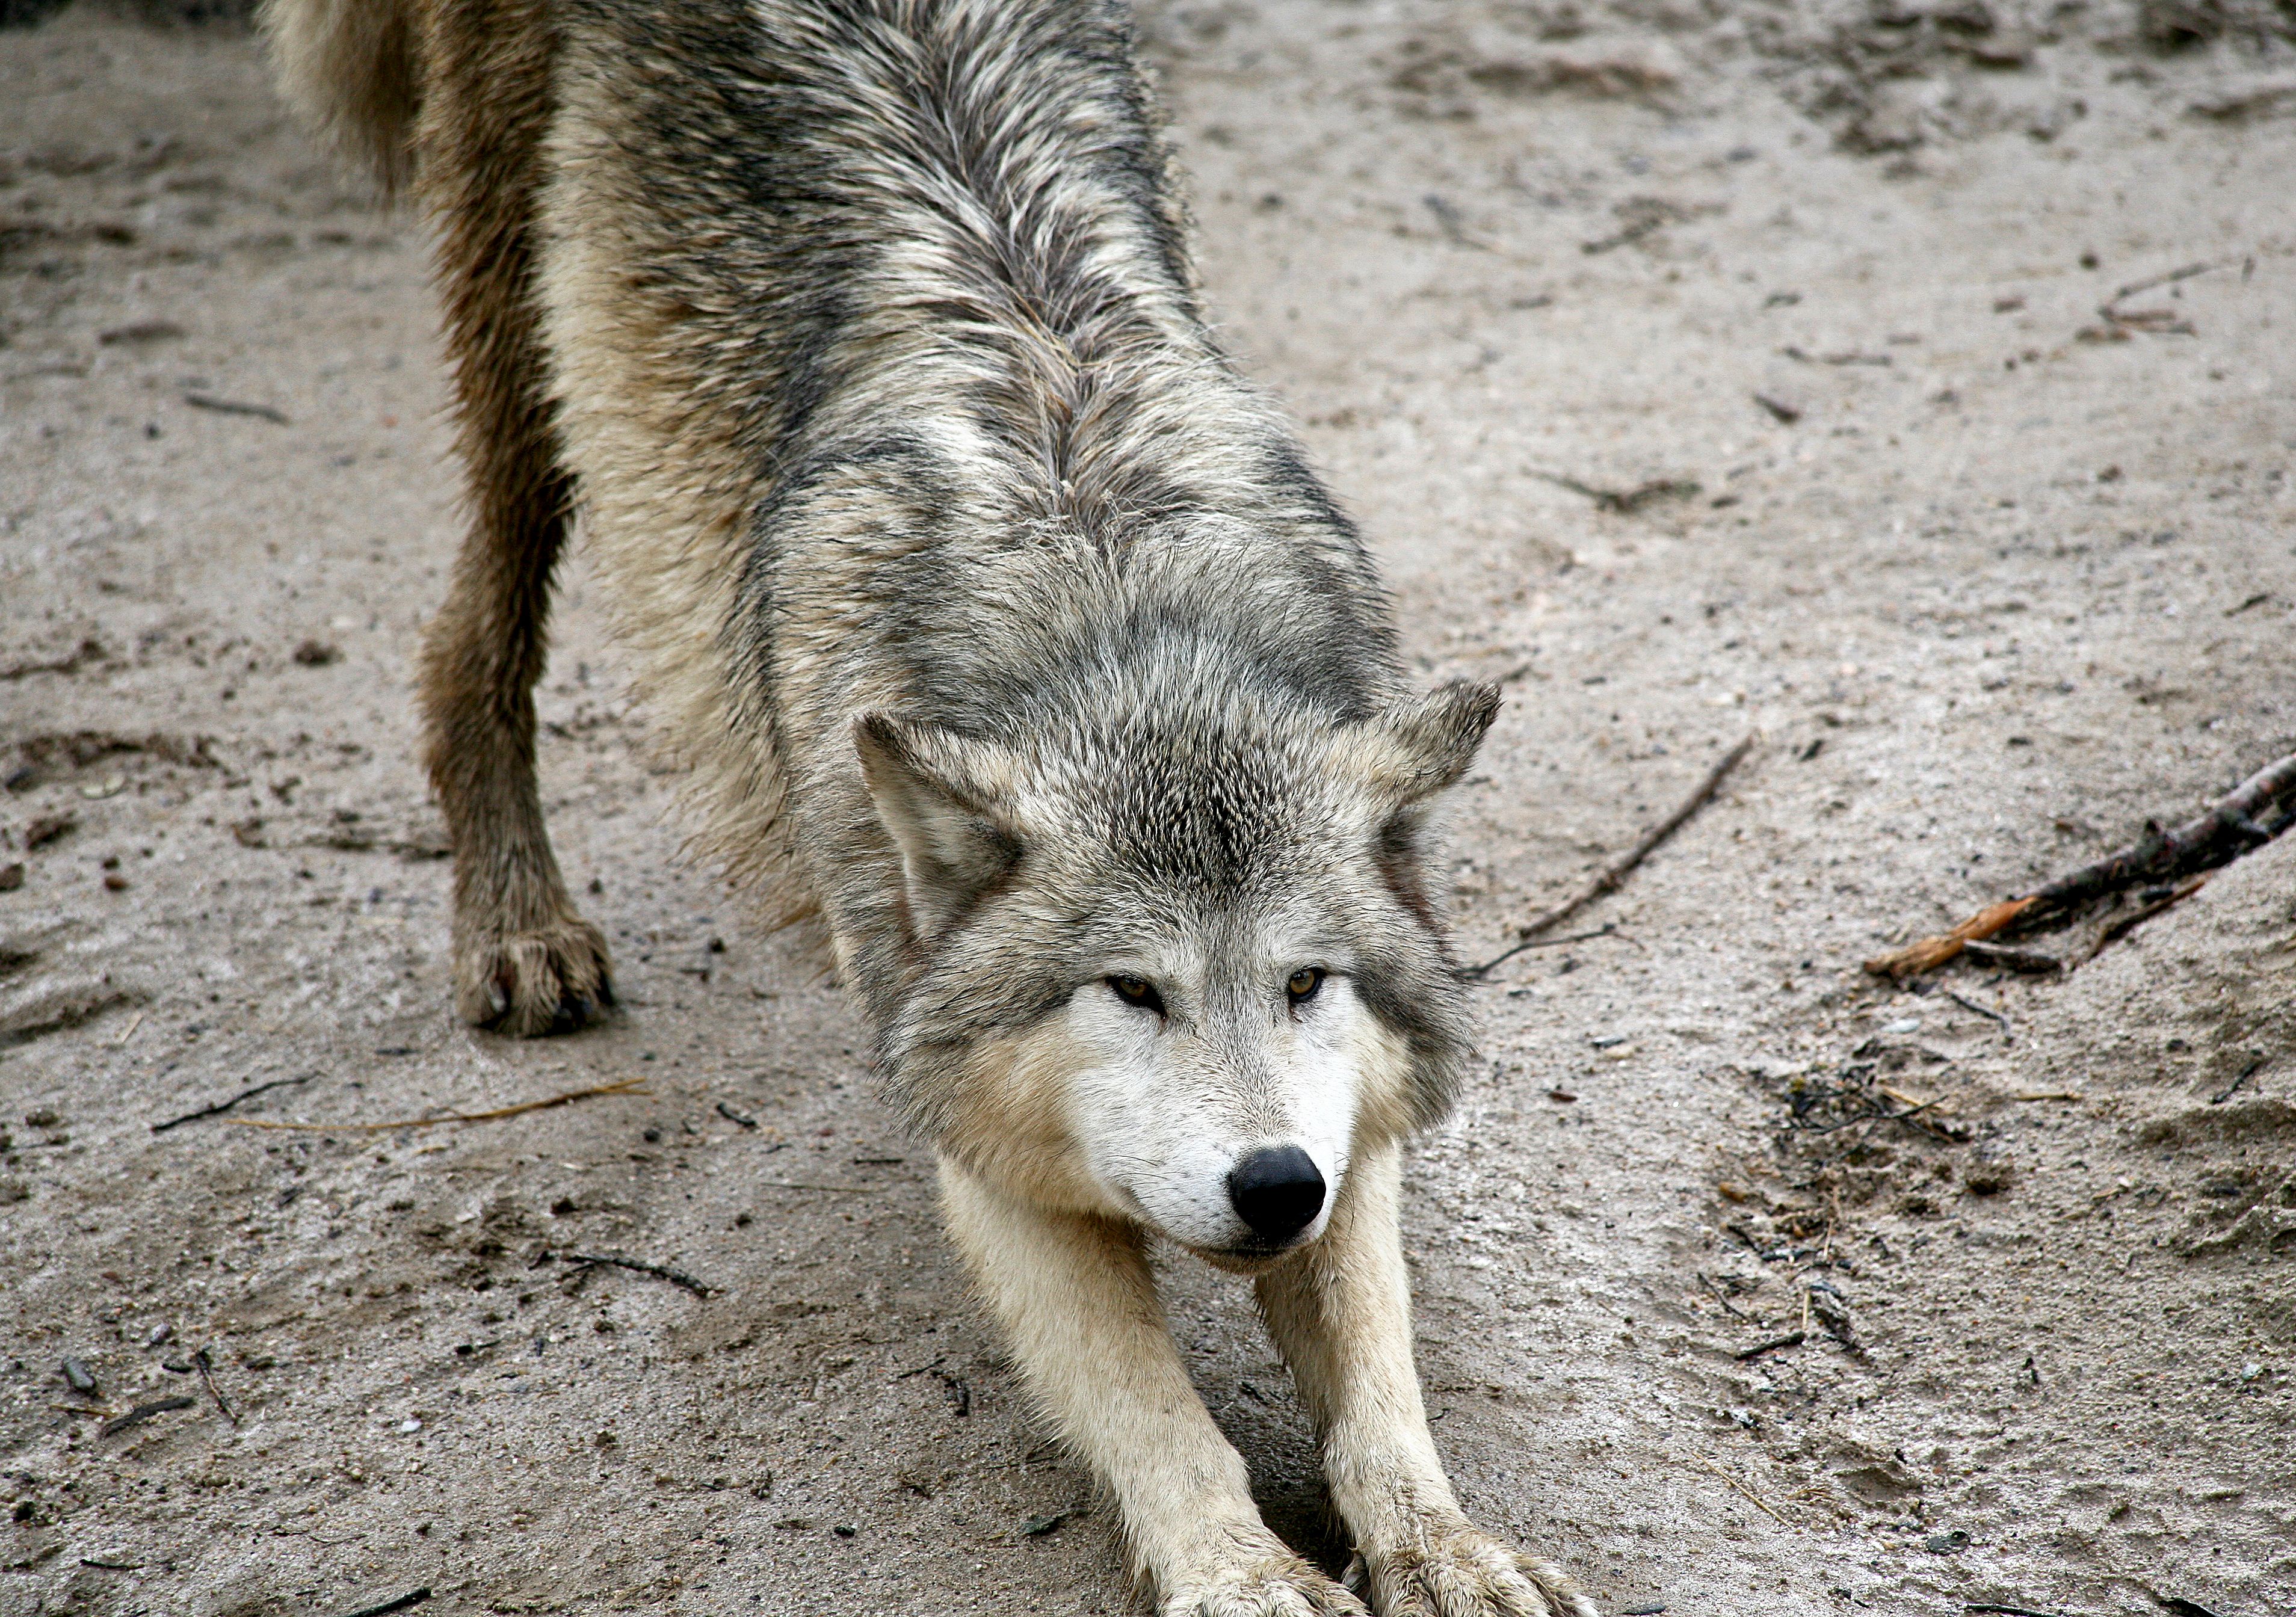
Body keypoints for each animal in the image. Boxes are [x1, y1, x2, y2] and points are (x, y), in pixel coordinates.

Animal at [263, 2, 1598, 1611]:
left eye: (1305, 984)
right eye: (1128, 991)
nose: (1275, 1188)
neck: (1112, 597)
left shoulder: (1354, 1140)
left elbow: (1382, 1387)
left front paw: (1442, 1547)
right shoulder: (983, 1145)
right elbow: (1154, 1410)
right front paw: (1243, 1576)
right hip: (527, 366)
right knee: (465, 640)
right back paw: (519, 927)